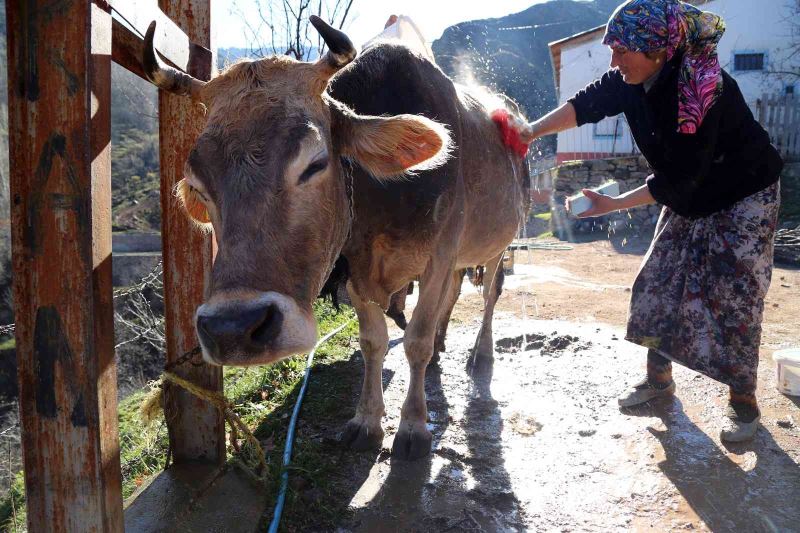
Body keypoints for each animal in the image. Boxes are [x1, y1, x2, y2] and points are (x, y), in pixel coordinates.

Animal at [144, 15, 532, 458]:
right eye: (199, 184)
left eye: (315, 162)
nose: (233, 329)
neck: (382, 199)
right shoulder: (356, 268)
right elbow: (373, 341)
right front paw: (367, 421)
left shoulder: (437, 257)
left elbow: (415, 340)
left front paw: (413, 426)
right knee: (454, 294)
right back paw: (442, 345)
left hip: (498, 243)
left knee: (489, 294)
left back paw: (481, 353)